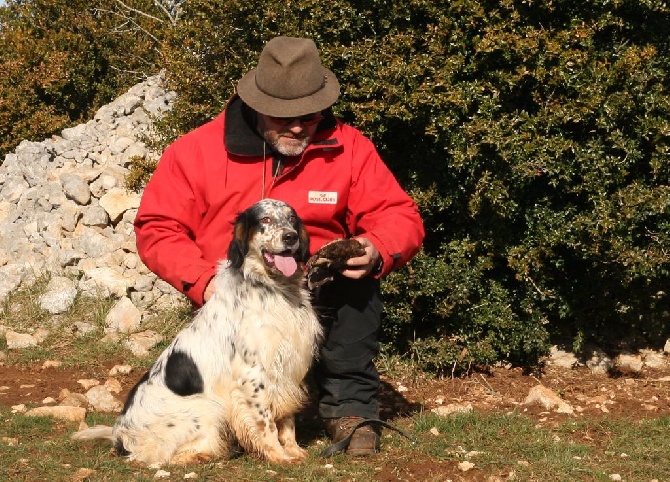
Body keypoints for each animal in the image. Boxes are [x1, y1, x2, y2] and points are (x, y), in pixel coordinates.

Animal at [72, 198, 324, 466]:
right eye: (265, 219)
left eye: (291, 219)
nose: (290, 237)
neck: (275, 289)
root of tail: (120, 435)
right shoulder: (253, 376)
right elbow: (266, 425)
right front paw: (279, 456)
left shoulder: (288, 369)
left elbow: (286, 419)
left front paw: (293, 450)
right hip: (206, 408)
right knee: (167, 456)